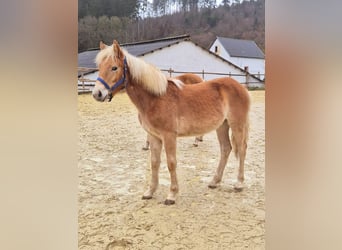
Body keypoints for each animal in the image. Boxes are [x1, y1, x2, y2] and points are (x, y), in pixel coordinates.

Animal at [92, 40, 250, 205]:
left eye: (114, 67)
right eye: (100, 67)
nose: (97, 94)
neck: (156, 98)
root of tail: (240, 86)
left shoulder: (169, 136)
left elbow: (171, 163)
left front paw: (172, 195)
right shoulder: (154, 136)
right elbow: (154, 163)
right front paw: (150, 192)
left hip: (237, 125)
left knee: (242, 149)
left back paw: (239, 183)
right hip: (222, 126)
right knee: (226, 149)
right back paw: (214, 181)